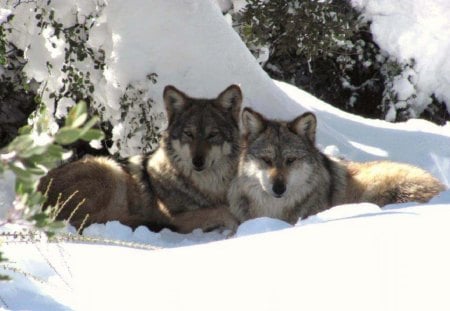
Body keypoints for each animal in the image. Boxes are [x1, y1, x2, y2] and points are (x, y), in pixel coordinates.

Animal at [38, 84, 243, 233]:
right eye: (188, 134)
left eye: (213, 135)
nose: (197, 162)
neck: (208, 188)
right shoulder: (175, 217)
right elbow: (224, 212)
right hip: (110, 172)